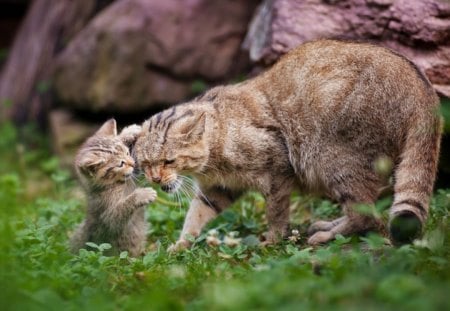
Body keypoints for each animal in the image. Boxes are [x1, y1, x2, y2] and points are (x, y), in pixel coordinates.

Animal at [69, 118, 156, 258]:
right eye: (120, 164)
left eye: (127, 152)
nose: (133, 163)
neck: (115, 184)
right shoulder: (107, 216)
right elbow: (119, 211)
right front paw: (142, 195)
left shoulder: (134, 176)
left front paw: (128, 132)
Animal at [134, 39, 442, 251]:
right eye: (146, 164)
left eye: (169, 161)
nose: (155, 179)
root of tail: (424, 90)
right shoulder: (218, 189)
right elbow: (195, 216)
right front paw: (181, 245)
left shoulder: (278, 171)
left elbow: (276, 213)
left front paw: (271, 240)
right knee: (371, 209)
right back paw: (328, 225)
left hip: (335, 160)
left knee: (365, 213)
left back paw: (326, 234)